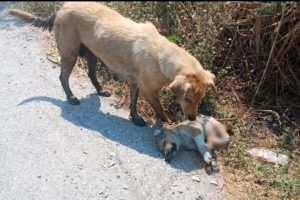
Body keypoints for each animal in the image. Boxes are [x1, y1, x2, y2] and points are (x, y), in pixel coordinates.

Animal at [8, 1, 216, 126]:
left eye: (199, 99)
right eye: (187, 99)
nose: (193, 118)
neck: (161, 54)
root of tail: (60, 8)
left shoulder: (136, 83)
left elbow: (133, 102)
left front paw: (135, 118)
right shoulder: (149, 90)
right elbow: (159, 108)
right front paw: (167, 122)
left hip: (91, 54)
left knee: (91, 74)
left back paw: (100, 90)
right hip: (70, 54)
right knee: (62, 77)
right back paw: (71, 97)